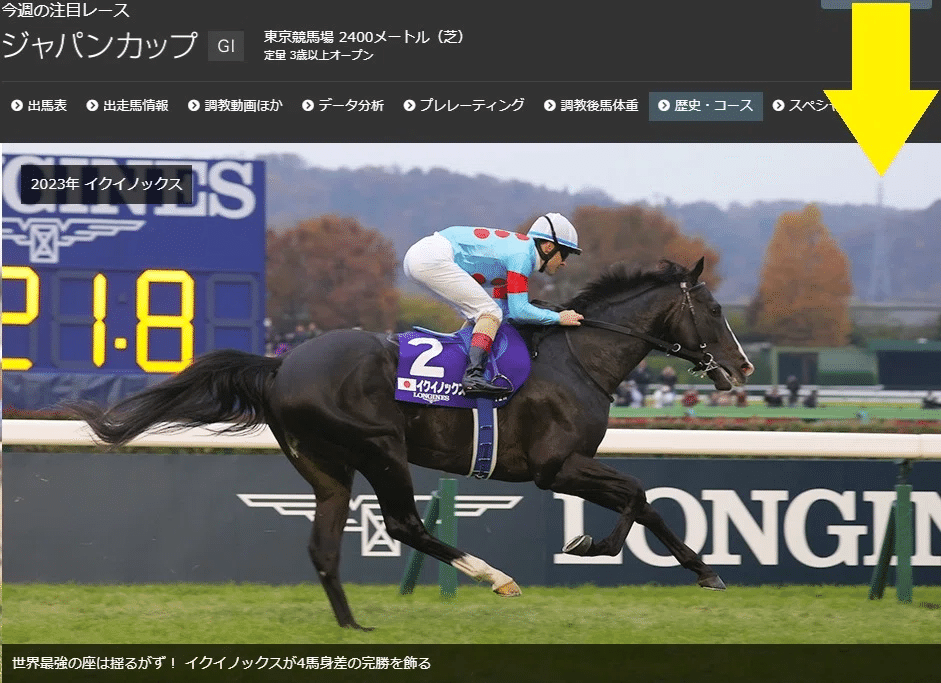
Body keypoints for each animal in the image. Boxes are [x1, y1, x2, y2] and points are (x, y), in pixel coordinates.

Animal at [69, 257, 754, 630]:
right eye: (716, 310)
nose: (743, 368)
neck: (578, 358)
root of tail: (281, 363)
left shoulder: (568, 465)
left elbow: (647, 501)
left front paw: (704, 572)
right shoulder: (556, 465)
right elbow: (636, 494)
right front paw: (592, 545)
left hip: (326, 467)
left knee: (324, 545)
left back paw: (353, 626)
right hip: (380, 449)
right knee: (403, 524)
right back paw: (496, 577)